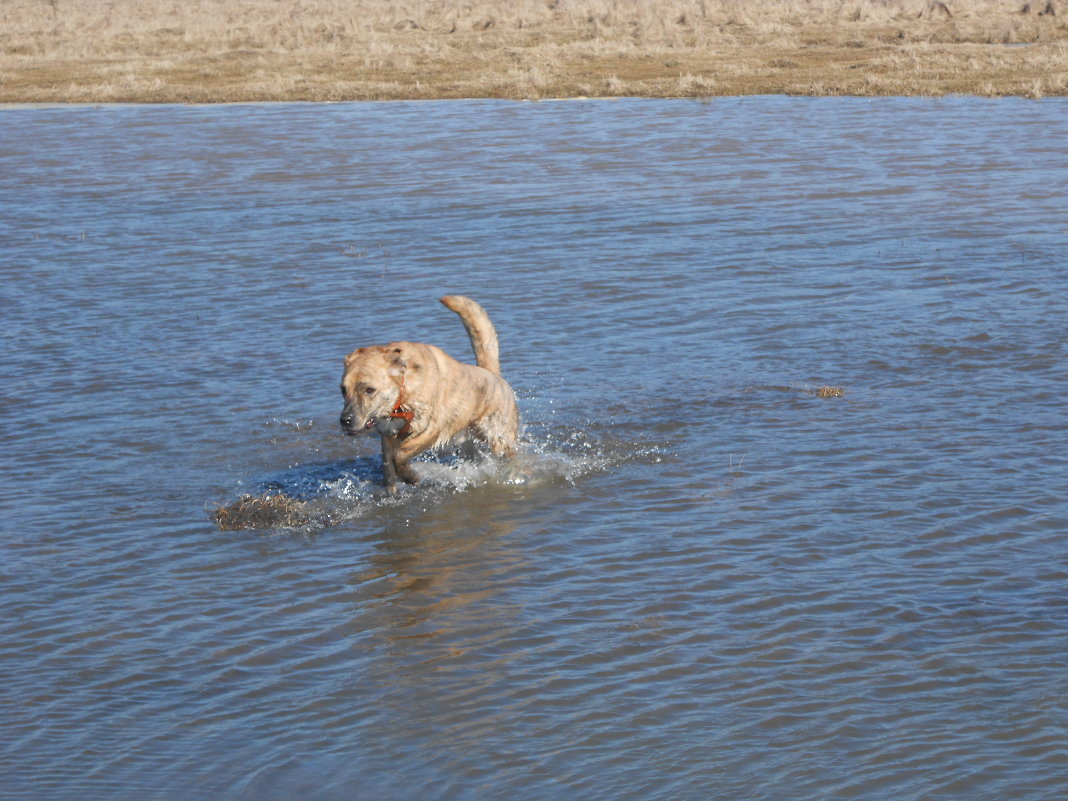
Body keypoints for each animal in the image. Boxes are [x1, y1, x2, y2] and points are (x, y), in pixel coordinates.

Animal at [339, 296, 519, 493]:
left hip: (498, 437)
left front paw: (412, 477)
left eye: (369, 390)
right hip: (467, 445)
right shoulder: (387, 435)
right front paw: (391, 491)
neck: (401, 397)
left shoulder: (432, 428)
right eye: (343, 389)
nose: (345, 421)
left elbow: (400, 455)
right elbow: (388, 468)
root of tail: (493, 374)